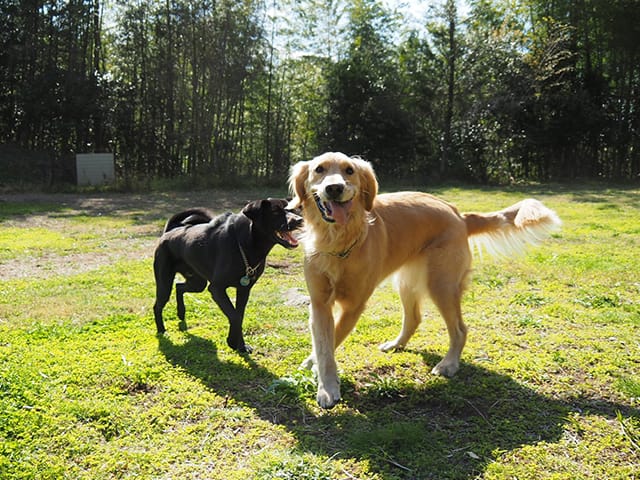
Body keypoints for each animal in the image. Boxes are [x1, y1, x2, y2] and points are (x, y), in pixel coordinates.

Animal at [156, 199, 304, 352]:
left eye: (292, 209)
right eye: (275, 211)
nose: (300, 220)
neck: (246, 245)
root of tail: (171, 230)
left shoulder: (244, 289)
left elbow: (239, 315)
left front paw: (241, 346)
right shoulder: (217, 289)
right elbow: (235, 316)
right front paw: (232, 341)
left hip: (197, 283)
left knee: (179, 286)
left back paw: (181, 312)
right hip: (164, 283)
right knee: (158, 305)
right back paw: (161, 330)